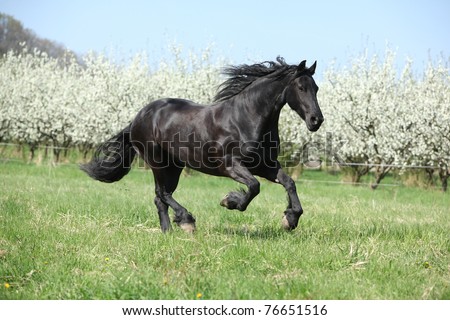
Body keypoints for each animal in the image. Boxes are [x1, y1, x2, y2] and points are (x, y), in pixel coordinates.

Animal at [81, 57, 324, 232]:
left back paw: (168, 231)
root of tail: (139, 117)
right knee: (162, 194)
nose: (316, 120)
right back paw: (187, 221)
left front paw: (290, 220)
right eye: (301, 87)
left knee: (160, 197)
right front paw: (230, 201)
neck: (245, 118)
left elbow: (289, 183)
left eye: (316, 88)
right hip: (158, 162)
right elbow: (254, 187)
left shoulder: (265, 165)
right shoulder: (231, 166)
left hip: (174, 167)